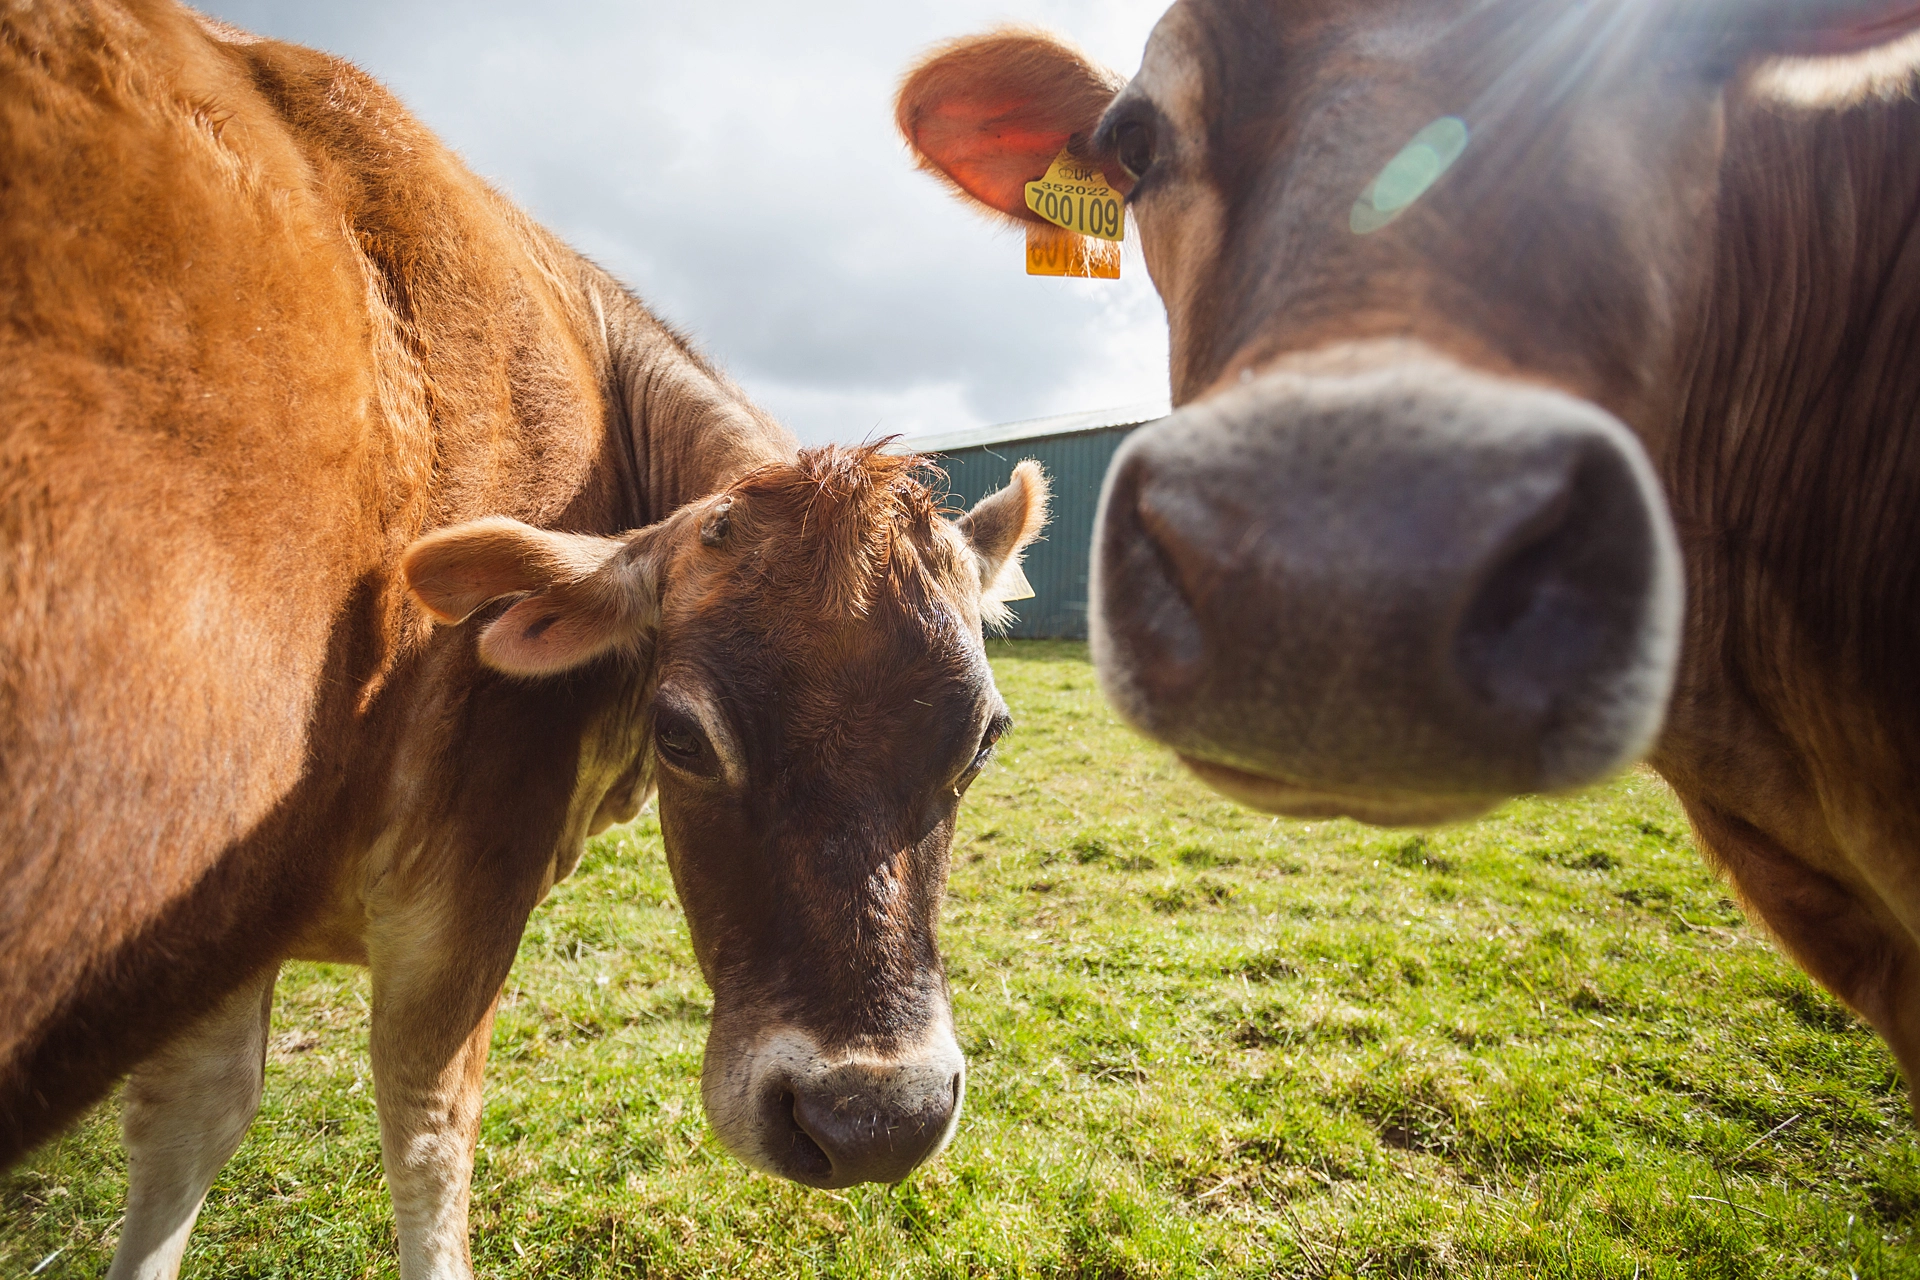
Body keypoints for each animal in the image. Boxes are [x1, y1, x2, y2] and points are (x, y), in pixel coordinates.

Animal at [0, 2, 1051, 1277]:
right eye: (683, 734)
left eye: (987, 736)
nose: (871, 1118)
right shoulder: (465, 865)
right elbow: (428, 1126)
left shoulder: (211, 935)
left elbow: (195, 1116)